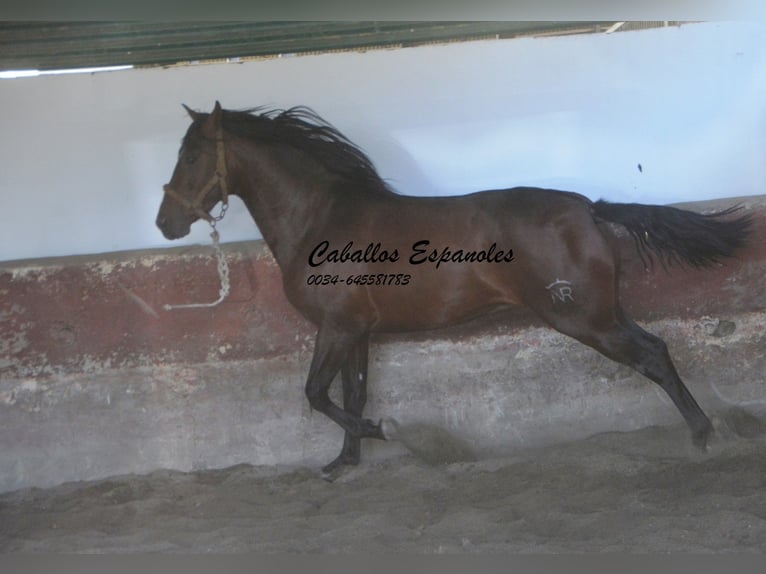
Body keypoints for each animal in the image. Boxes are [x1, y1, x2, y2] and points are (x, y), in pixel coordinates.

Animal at [156, 101, 752, 474]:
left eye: (192, 156)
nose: (166, 223)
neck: (323, 219)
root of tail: (589, 207)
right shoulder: (358, 331)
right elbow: (351, 393)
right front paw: (344, 461)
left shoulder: (337, 327)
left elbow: (317, 395)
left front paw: (397, 435)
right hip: (603, 312)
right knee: (657, 349)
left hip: (585, 318)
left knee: (652, 355)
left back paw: (703, 436)